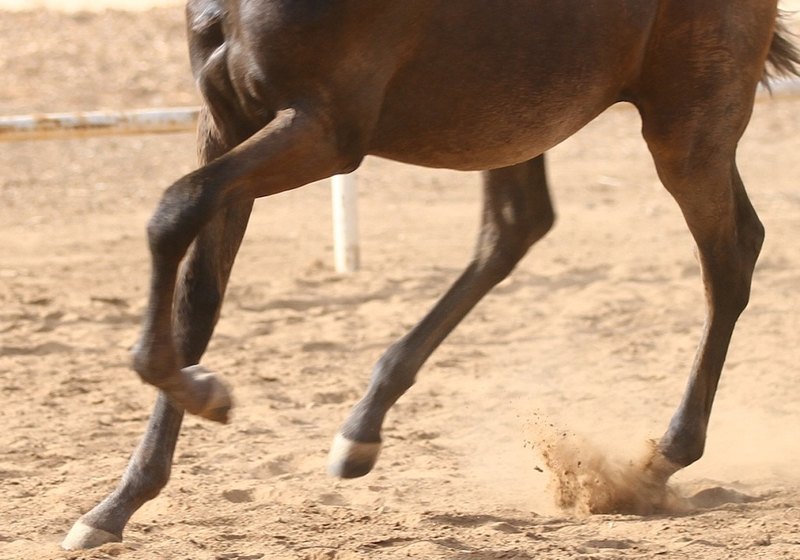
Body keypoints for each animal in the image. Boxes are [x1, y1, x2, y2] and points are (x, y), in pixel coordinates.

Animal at [62, 0, 800, 548]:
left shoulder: (326, 129)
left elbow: (171, 211)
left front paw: (211, 396)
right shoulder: (227, 118)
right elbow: (197, 295)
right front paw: (116, 505)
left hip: (686, 124)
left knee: (730, 257)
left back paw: (663, 457)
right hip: (513, 112)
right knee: (515, 228)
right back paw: (361, 431)